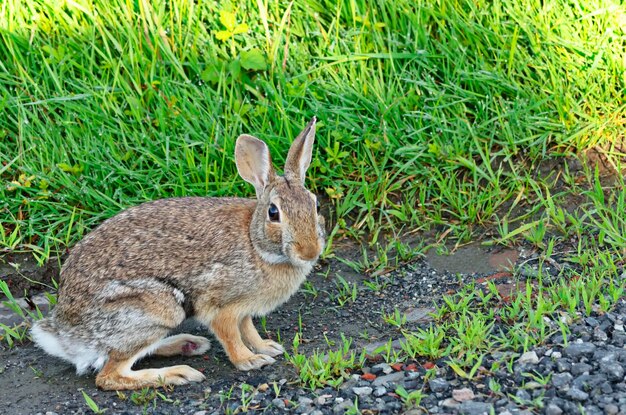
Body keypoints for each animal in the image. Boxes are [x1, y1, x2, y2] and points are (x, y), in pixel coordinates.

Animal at [29, 118, 324, 392]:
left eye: (316, 205)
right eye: (273, 213)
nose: (309, 252)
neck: (256, 243)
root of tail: (64, 335)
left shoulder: (243, 310)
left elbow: (248, 329)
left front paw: (267, 347)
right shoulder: (220, 306)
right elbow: (231, 336)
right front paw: (250, 360)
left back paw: (188, 344)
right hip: (158, 308)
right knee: (109, 375)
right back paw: (178, 373)